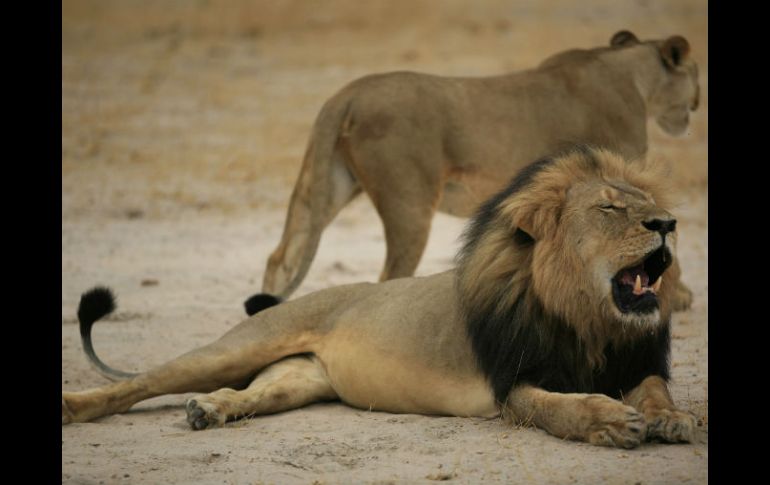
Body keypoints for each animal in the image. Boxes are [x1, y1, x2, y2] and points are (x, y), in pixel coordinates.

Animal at [63, 146, 692, 448]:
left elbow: (656, 391)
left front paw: (670, 420)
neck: (588, 320)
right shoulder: (513, 386)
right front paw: (611, 422)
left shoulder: (634, 361)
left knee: (252, 392)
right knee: (139, 383)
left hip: (298, 379)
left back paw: (210, 410)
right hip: (239, 346)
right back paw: (75, 407)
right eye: (610, 208)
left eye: (646, 204)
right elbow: (562, 408)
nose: (668, 223)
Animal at [255, 30, 700, 310]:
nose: (696, 104)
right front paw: (677, 296)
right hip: (409, 203)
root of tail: (346, 94)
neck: (632, 74)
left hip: (328, 185)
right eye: (696, 75)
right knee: (389, 276)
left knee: (282, 257)